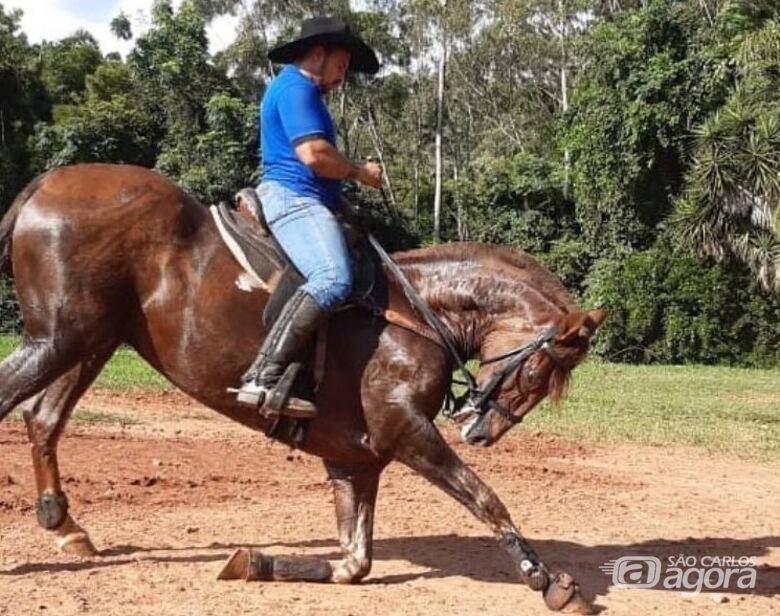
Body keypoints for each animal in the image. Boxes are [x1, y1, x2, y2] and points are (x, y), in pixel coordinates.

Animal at [0, 164, 604, 612]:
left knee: (43, 418)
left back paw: (66, 526)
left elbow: (354, 563)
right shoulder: (406, 431)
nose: (483, 432)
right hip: (60, 340)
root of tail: (47, 184)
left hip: (92, 341)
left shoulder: (357, 459)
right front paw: (547, 580)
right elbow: (485, 498)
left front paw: (254, 562)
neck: (417, 314)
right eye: (541, 373)